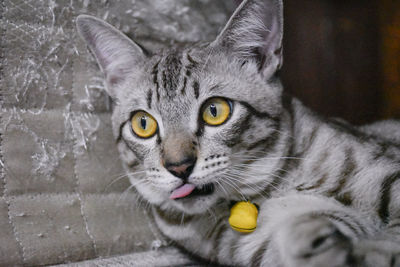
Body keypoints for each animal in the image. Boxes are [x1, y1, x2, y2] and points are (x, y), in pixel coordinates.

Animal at [76, 0, 400, 266]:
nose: (178, 167)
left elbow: (385, 242)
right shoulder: (258, 245)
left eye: (215, 110)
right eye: (143, 124)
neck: (266, 191)